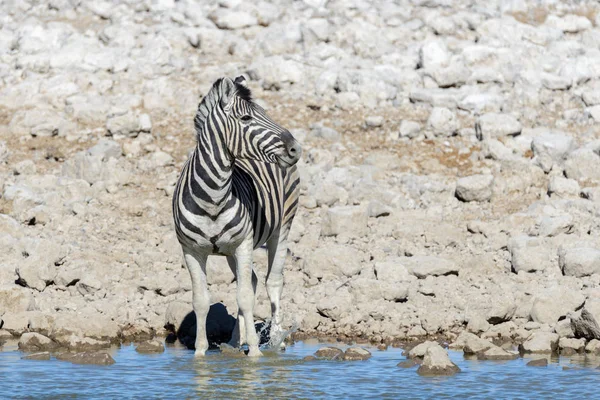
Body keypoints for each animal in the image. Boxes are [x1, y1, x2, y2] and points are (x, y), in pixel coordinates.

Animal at [171, 75, 302, 356]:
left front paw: (255, 352)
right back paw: (234, 341)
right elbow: (201, 301)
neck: (212, 197)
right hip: (232, 250)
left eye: (265, 113)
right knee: (251, 280)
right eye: (246, 119)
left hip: (281, 228)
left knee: (273, 282)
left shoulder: (244, 243)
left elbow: (244, 297)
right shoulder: (191, 251)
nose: (296, 149)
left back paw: (277, 339)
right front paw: (200, 354)